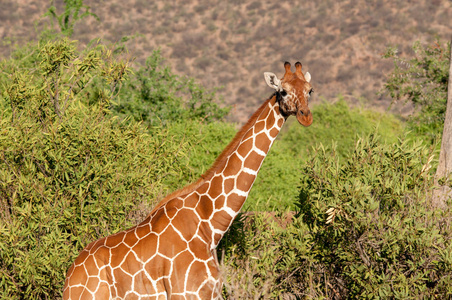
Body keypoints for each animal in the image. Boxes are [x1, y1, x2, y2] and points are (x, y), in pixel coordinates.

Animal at [63, 61, 314, 300]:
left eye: (310, 90)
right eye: (282, 91)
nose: (306, 116)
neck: (210, 225)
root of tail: (71, 273)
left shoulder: (210, 293)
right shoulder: (186, 292)